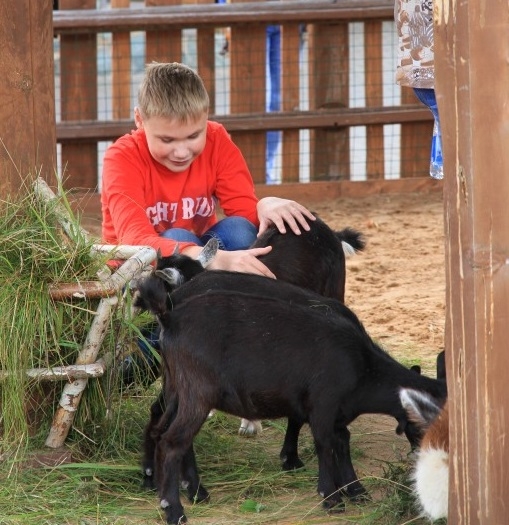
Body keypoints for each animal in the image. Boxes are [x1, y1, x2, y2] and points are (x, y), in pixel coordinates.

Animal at [135, 272, 444, 520]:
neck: (364, 368)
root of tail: (170, 314)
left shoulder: (335, 412)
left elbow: (341, 442)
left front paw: (354, 490)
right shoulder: (323, 404)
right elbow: (325, 445)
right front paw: (331, 497)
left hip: (177, 388)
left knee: (162, 427)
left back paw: (182, 488)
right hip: (198, 392)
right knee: (174, 441)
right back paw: (175, 508)